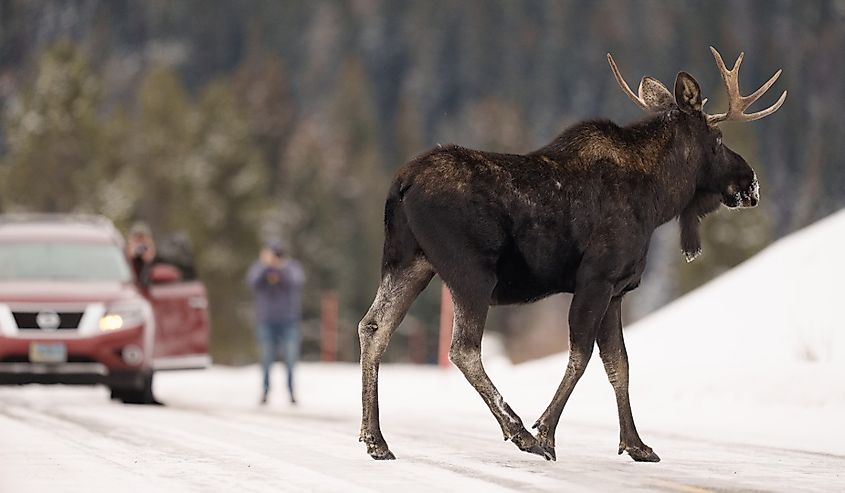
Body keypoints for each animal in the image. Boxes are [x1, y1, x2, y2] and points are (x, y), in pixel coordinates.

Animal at [356, 46, 784, 462]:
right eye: (717, 136)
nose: (751, 184)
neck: (658, 199)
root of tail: (403, 183)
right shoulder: (597, 278)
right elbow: (581, 355)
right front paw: (546, 432)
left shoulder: (618, 290)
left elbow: (619, 364)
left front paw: (636, 444)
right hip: (471, 272)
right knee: (463, 348)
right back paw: (519, 432)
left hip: (408, 261)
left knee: (373, 327)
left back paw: (375, 439)